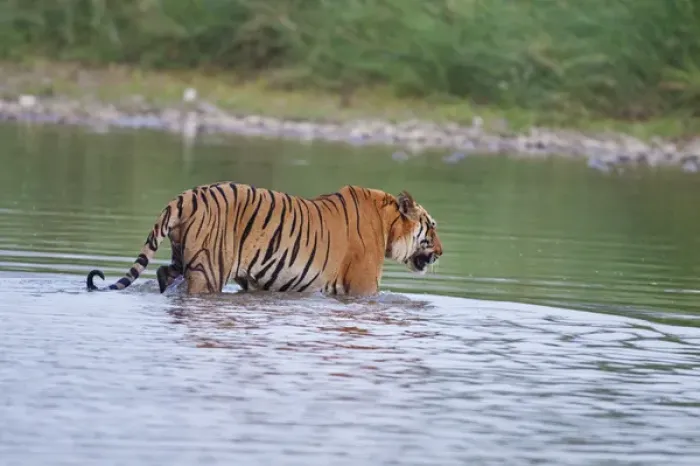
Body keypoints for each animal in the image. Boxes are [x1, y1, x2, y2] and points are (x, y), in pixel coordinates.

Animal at [86, 182, 443, 296]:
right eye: (433, 227)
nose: (440, 252)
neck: (388, 226)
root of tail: (186, 196)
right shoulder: (363, 287)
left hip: (181, 255)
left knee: (163, 272)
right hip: (210, 269)